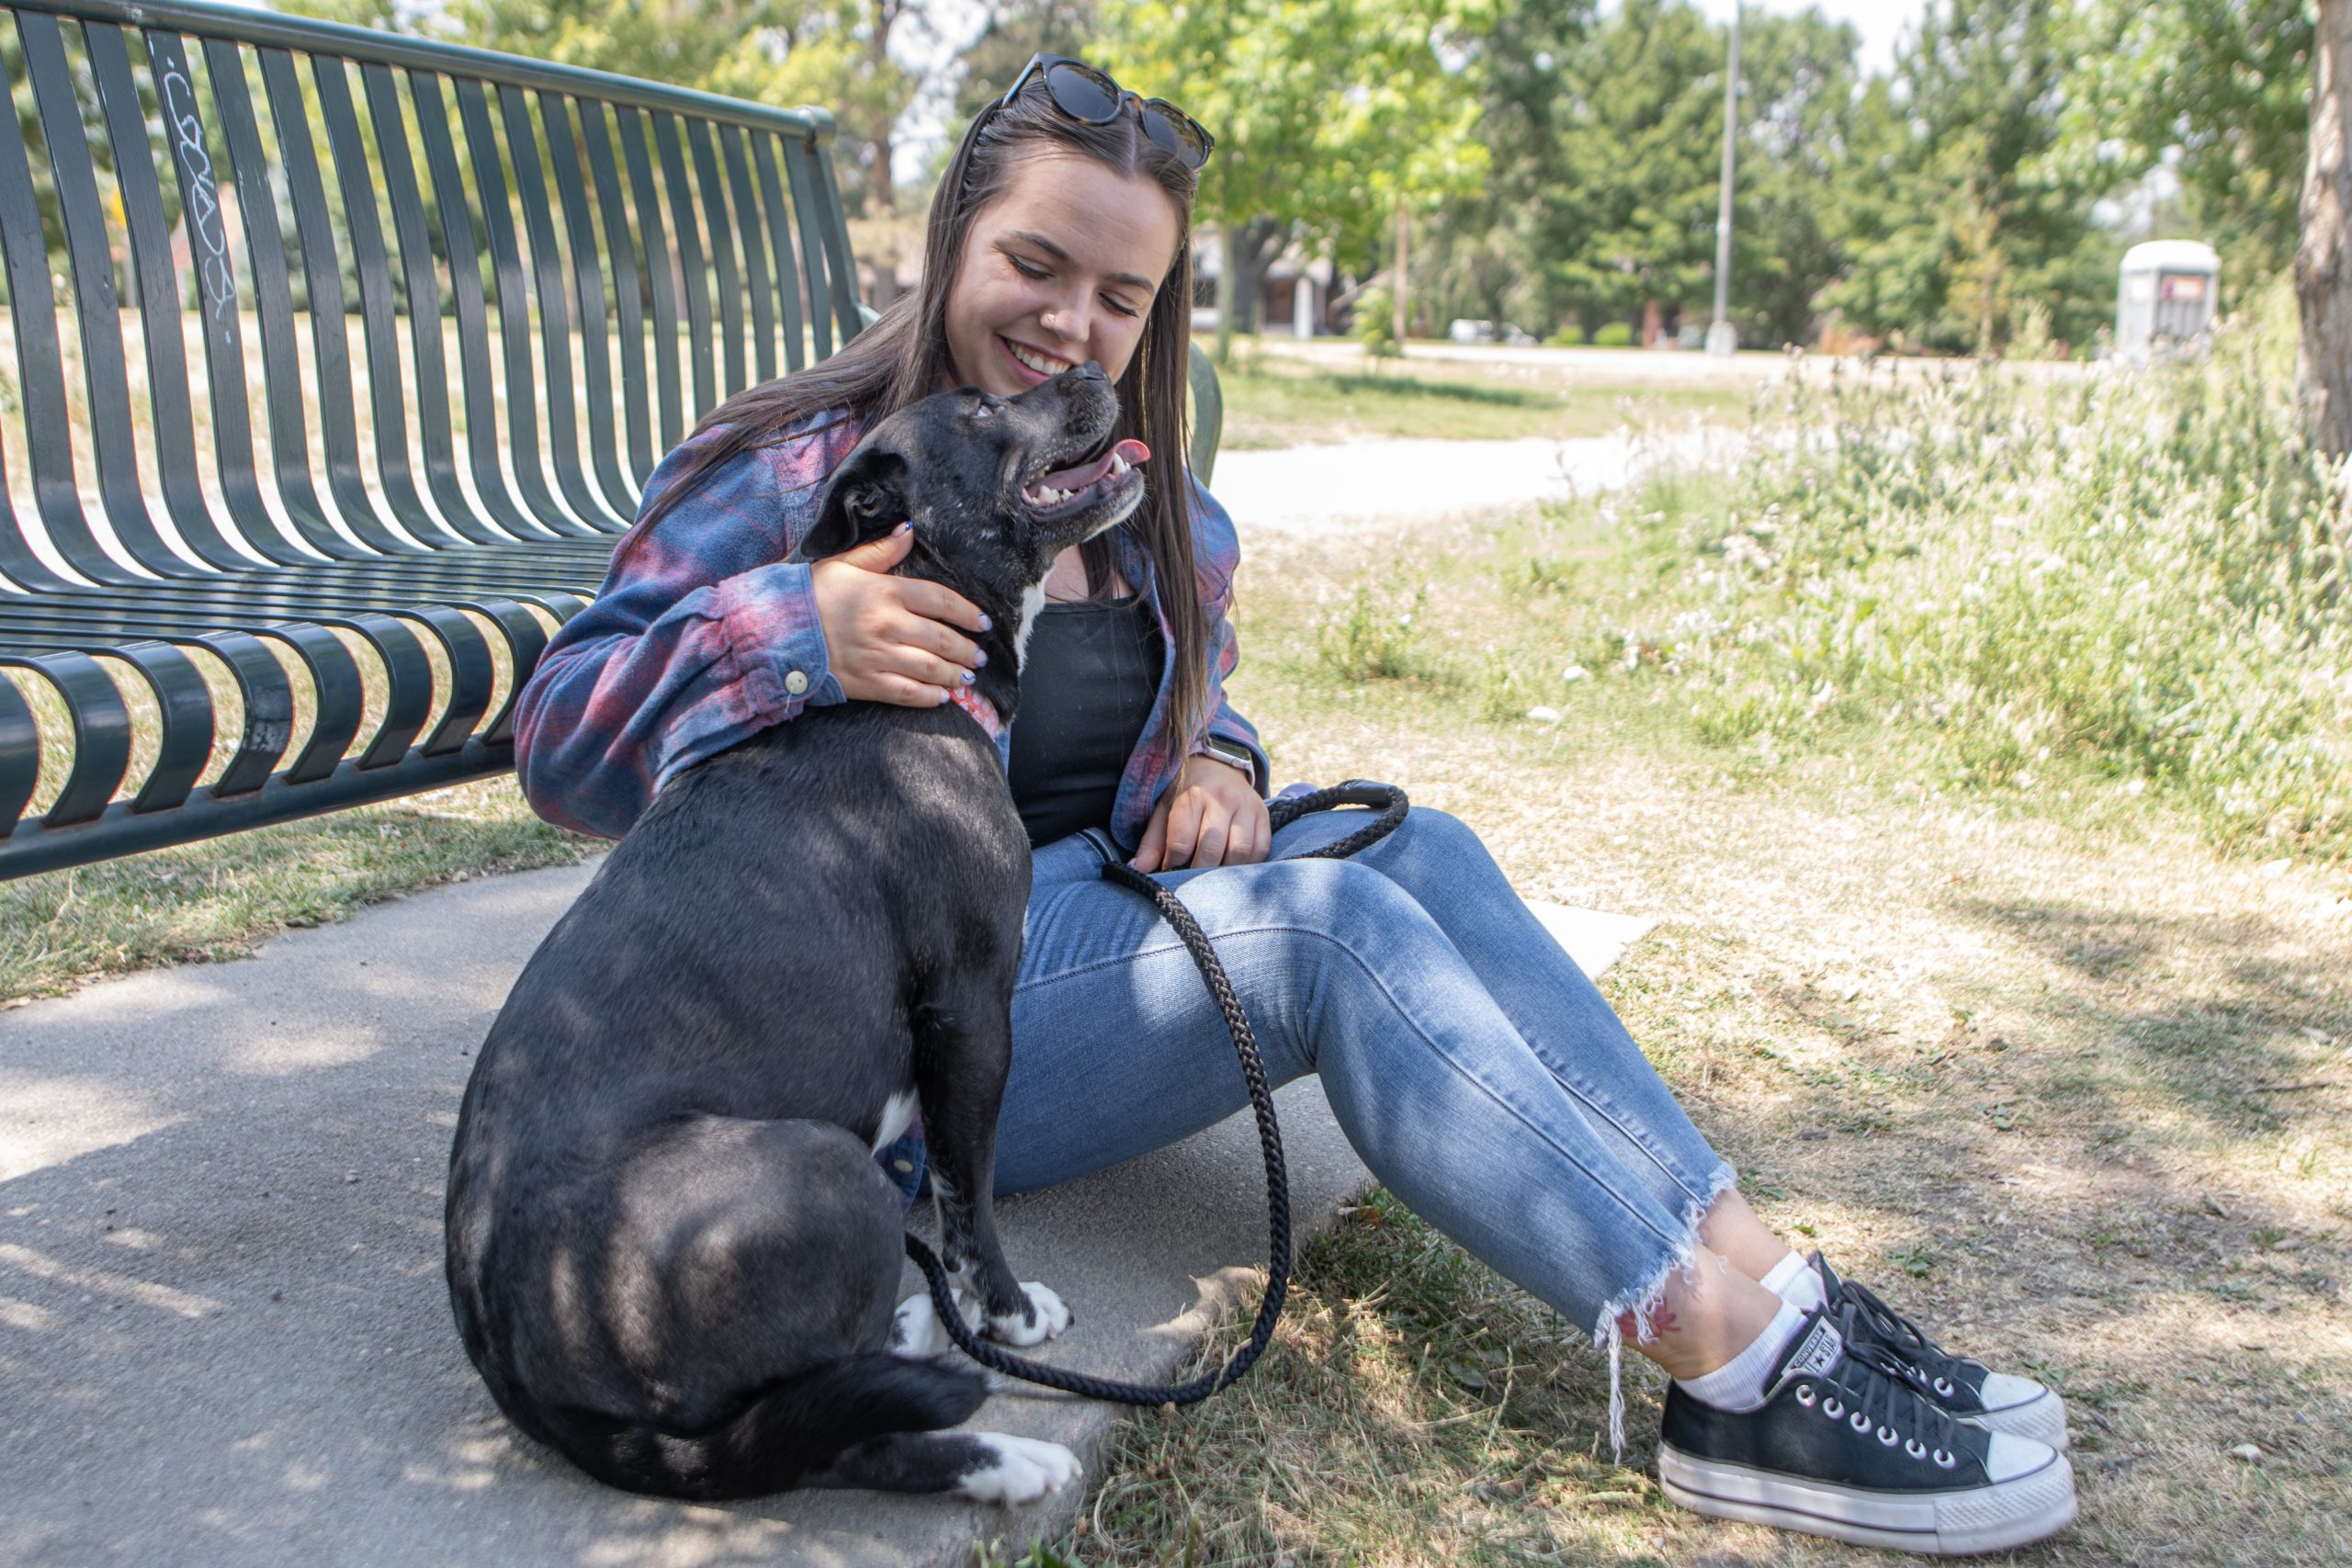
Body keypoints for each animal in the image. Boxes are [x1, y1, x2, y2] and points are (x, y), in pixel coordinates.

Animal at [444, 362, 1152, 1504]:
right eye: (983, 407)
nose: (1090, 368)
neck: (901, 692)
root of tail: (516, 1363)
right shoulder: (970, 1012)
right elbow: (968, 1193)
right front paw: (1006, 1314)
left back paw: (910, 1331)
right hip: (832, 1169)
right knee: (845, 1442)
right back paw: (1004, 1455)